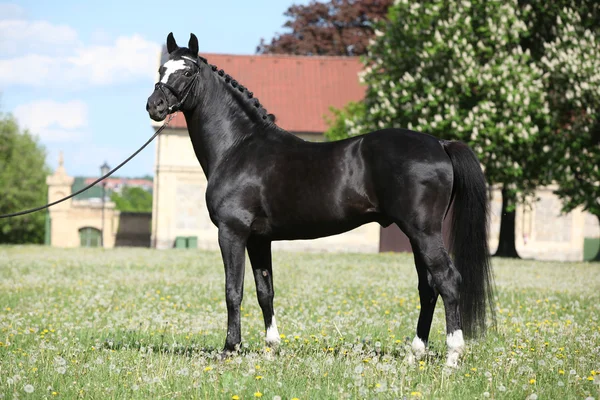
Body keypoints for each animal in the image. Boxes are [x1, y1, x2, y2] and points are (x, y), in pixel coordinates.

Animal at [145, 32, 492, 368]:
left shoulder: (232, 233)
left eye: (187, 72)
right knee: (428, 288)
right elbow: (264, 291)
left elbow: (234, 290)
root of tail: (441, 143)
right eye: (161, 69)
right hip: (417, 235)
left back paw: (452, 357)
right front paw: (271, 349)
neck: (239, 147)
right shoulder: (259, 239)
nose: (154, 106)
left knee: (447, 281)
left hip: (423, 233)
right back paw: (414, 354)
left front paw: (230, 349)